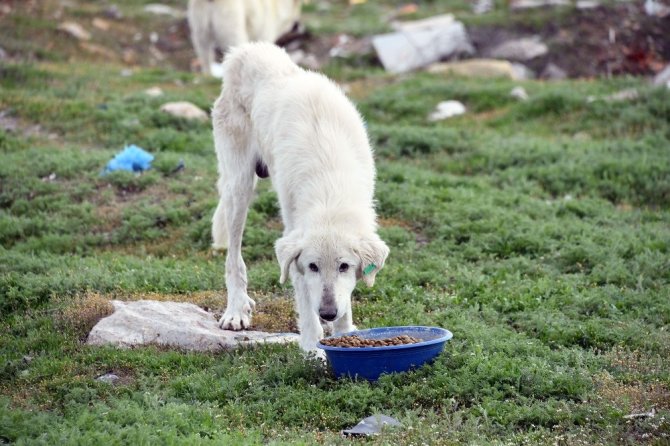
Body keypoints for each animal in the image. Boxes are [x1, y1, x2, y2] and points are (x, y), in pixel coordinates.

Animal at [213, 41, 392, 356]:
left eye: (344, 266)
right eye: (313, 266)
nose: (328, 313)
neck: (330, 190)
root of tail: (246, 50)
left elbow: (346, 301)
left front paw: (344, 335)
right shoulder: (294, 248)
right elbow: (307, 310)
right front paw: (312, 350)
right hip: (240, 188)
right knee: (233, 258)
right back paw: (236, 310)